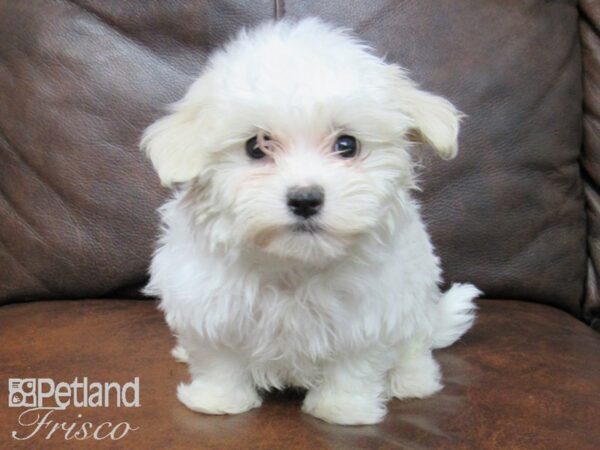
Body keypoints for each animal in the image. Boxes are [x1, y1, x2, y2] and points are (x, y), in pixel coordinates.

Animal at [141, 17, 478, 426]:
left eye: (347, 145)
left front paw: (343, 408)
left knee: (415, 344)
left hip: (415, 301)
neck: (294, 263)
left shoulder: (371, 310)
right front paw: (218, 400)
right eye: (256, 146)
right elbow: (219, 358)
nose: (305, 199)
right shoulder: (207, 299)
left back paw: (411, 380)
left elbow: (355, 363)